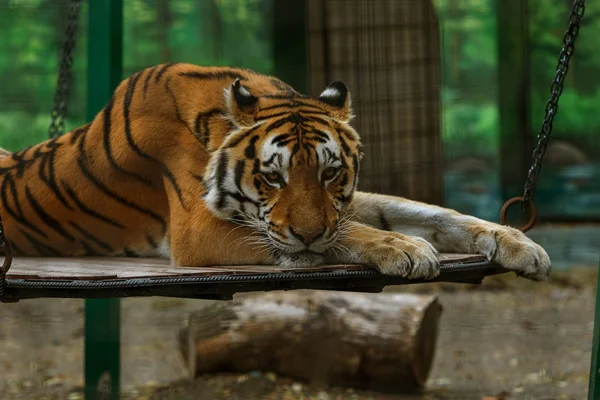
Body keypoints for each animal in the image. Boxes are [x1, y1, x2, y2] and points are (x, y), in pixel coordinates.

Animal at [0, 63, 552, 282]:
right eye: (273, 177)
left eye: (329, 175)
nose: (306, 233)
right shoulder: (196, 230)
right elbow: (350, 234)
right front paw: (406, 250)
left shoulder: (346, 204)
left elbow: (429, 212)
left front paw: (518, 243)